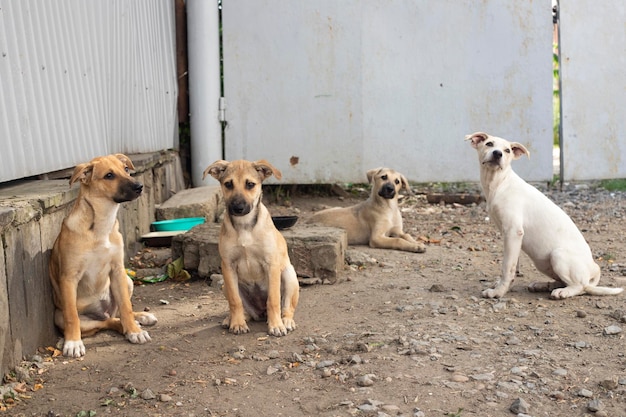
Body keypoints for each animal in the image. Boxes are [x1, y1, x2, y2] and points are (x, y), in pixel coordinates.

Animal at [48, 154, 156, 356]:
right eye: (109, 175)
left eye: (126, 169)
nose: (139, 186)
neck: (100, 225)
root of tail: (103, 312)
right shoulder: (69, 277)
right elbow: (72, 316)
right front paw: (73, 343)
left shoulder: (117, 270)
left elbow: (126, 307)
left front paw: (134, 331)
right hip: (59, 316)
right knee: (107, 322)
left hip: (127, 281)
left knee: (119, 313)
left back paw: (140, 318)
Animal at [201, 158, 296, 336]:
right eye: (228, 184)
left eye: (250, 184)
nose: (237, 208)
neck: (244, 226)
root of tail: (260, 312)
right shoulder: (228, 265)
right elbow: (235, 300)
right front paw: (237, 323)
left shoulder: (271, 264)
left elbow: (273, 300)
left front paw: (276, 325)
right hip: (226, 285)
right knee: (243, 308)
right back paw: (232, 319)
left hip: (289, 276)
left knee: (287, 307)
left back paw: (286, 321)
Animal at [466, 132, 620, 298]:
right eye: (489, 144)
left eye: (507, 150)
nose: (497, 154)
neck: (500, 183)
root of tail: (593, 269)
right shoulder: (511, 236)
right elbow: (514, 265)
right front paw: (503, 286)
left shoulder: (513, 231)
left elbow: (507, 267)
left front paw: (498, 292)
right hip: (543, 263)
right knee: (563, 281)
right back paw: (543, 285)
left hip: (558, 255)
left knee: (580, 286)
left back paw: (562, 292)